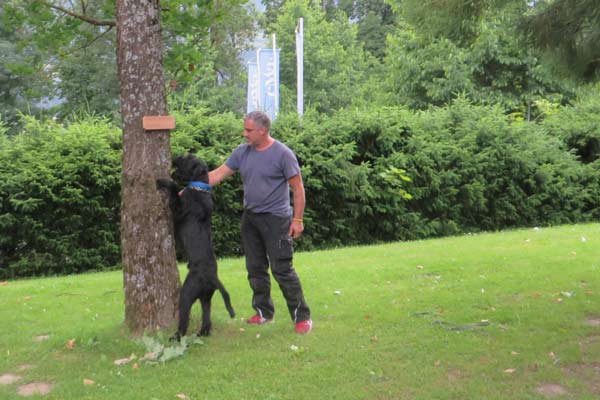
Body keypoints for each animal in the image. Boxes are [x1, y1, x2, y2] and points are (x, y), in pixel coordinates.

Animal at [156, 155, 236, 340]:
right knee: (207, 320)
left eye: (188, 158)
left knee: (184, 320)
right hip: (206, 298)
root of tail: (212, 277)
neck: (199, 188)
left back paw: (176, 336)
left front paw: (163, 181)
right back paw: (201, 334)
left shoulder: (178, 209)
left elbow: (174, 188)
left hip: (186, 293)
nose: (176, 156)